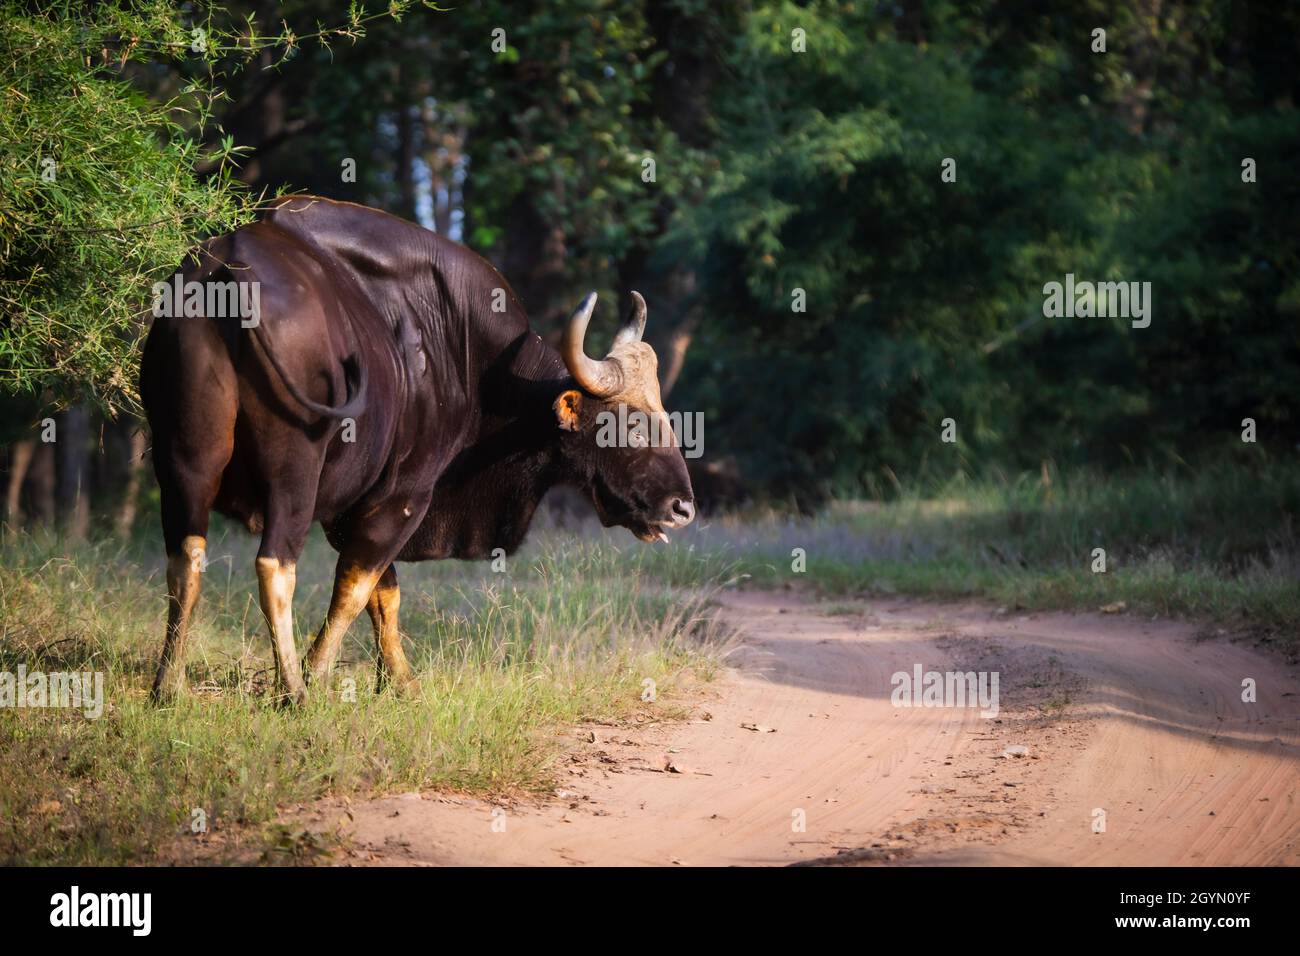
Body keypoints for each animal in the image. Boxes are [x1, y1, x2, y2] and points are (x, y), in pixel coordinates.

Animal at [137, 196, 696, 702]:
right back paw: (292, 689)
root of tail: (232, 273)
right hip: (293, 474)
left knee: (186, 556)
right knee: (275, 566)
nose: (682, 506)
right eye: (630, 425)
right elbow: (358, 587)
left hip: (185, 460)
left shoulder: (356, 508)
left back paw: (168, 685)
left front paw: (398, 680)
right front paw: (319, 674)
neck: (465, 357)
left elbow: (383, 591)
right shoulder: (403, 495)